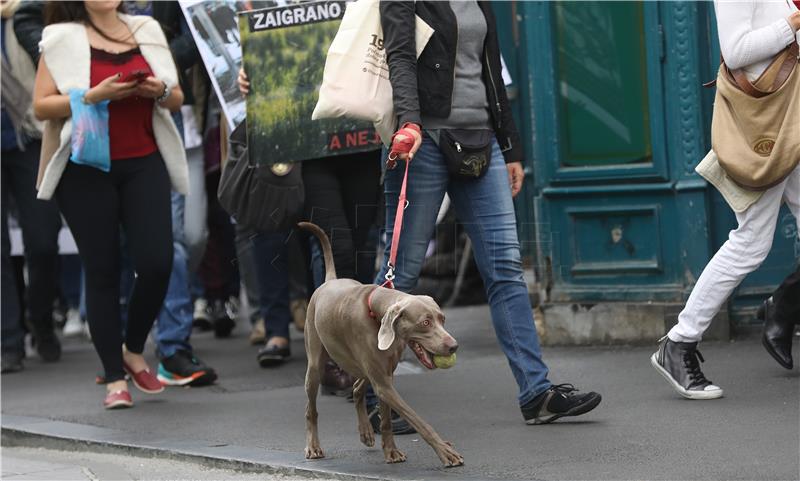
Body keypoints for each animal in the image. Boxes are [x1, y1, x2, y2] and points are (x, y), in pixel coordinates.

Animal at [298, 223, 462, 466]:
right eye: (425, 322)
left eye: (442, 318)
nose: (453, 346)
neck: (374, 308)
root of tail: (329, 280)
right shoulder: (383, 384)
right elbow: (418, 420)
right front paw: (444, 450)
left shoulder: (386, 375)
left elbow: (386, 420)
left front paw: (391, 451)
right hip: (316, 365)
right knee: (311, 408)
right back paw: (313, 446)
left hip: (362, 366)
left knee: (357, 388)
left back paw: (365, 431)